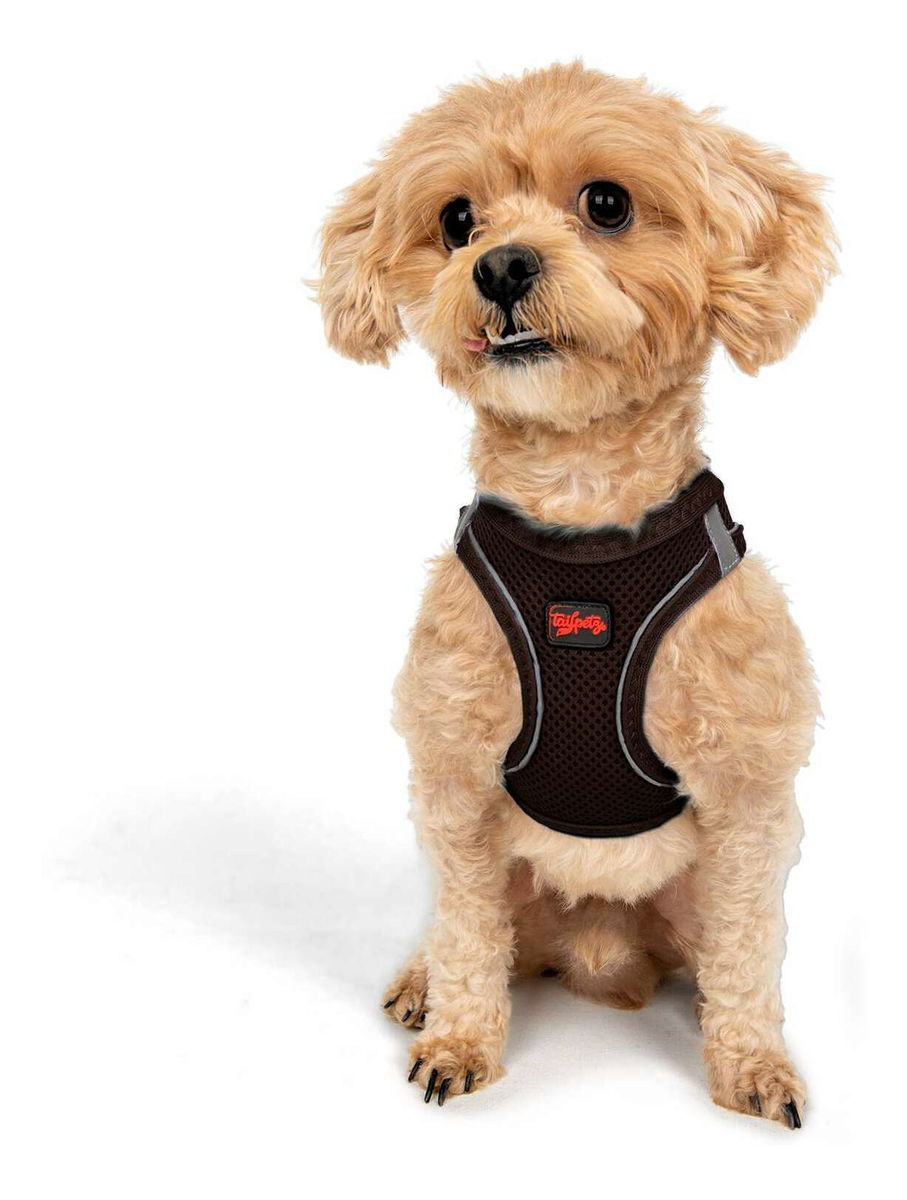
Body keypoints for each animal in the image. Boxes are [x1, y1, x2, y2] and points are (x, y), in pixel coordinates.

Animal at [316, 63, 835, 1127]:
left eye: (606, 204)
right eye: (457, 219)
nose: (500, 266)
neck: (583, 511)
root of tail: (598, 948)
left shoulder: (749, 802)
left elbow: (747, 956)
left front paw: (753, 1063)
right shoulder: (457, 783)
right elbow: (469, 940)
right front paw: (458, 1040)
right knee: (466, 925)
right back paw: (421, 981)